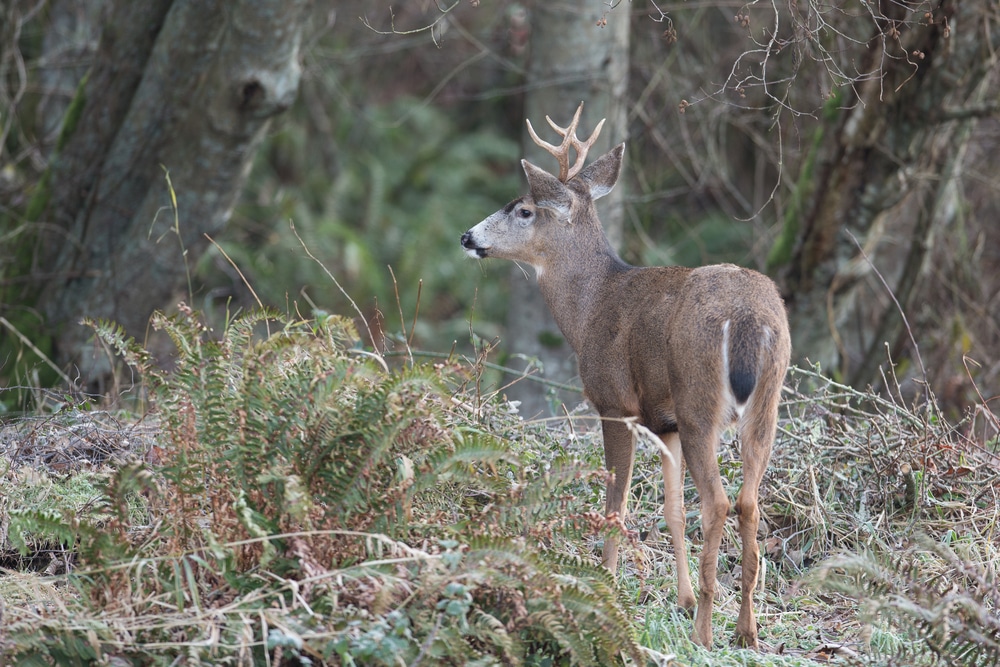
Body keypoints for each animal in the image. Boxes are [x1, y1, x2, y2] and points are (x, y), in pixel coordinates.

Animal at [458, 104, 788, 652]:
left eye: (523, 209)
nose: (468, 237)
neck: (590, 307)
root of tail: (748, 319)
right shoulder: (665, 421)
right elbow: (671, 509)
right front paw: (678, 597)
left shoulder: (616, 403)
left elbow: (617, 501)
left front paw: (607, 583)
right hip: (765, 405)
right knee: (748, 502)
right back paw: (746, 630)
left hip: (700, 402)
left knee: (718, 502)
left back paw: (705, 632)